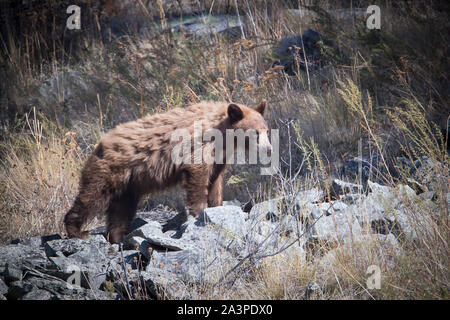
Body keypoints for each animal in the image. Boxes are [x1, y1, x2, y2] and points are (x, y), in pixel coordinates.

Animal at [64, 100, 270, 242]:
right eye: (255, 132)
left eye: (266, 130)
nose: (268, 149)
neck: (222, 136)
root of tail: (100, 144)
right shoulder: (199, 146)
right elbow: (198, 176)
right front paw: (199, 213)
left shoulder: (219, 157)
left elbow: (215, 182)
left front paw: (216, 207)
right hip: (110, 171)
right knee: (92, 196)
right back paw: (77, 231)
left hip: (129, 184)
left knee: (121, 208)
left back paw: (118, 236)